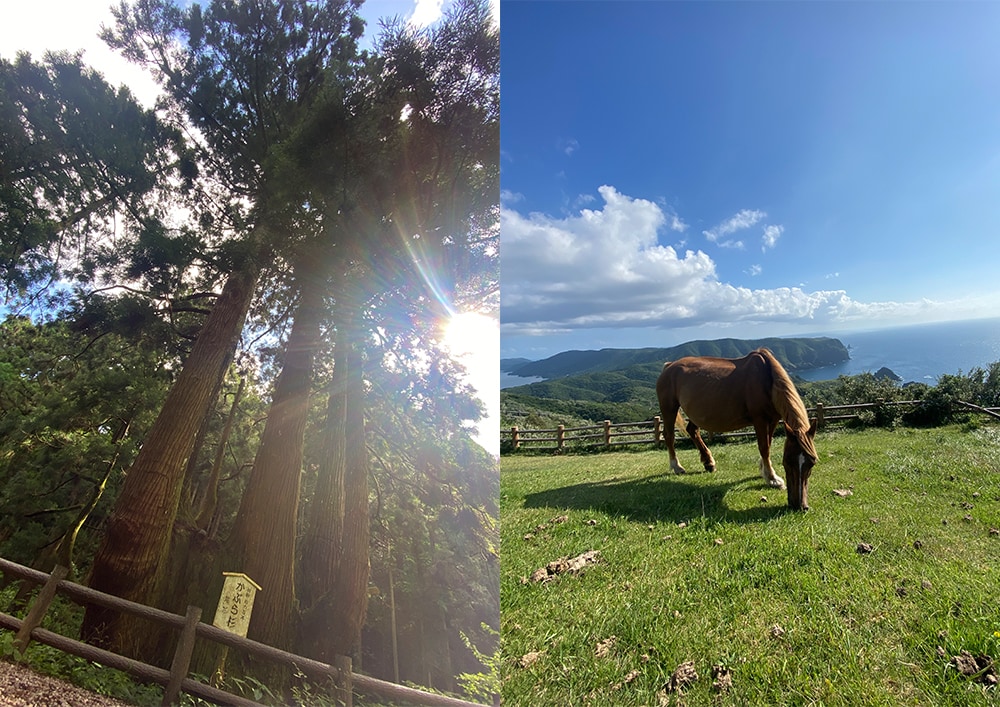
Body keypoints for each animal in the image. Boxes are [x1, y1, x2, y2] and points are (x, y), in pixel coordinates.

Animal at [660, 348, 816, 508]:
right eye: (787, 462)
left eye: (812, 463)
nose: (799, 506)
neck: (767, 378)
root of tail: (669, 365)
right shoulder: (759, 420)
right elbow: (764, 447)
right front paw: (773, 479)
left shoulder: (773, 419)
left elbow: (768, 444)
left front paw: (764, 470)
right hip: (669, 408)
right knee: (669, 435)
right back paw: (677, 467)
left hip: (696, 413)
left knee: (692, 430)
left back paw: (709, 462)